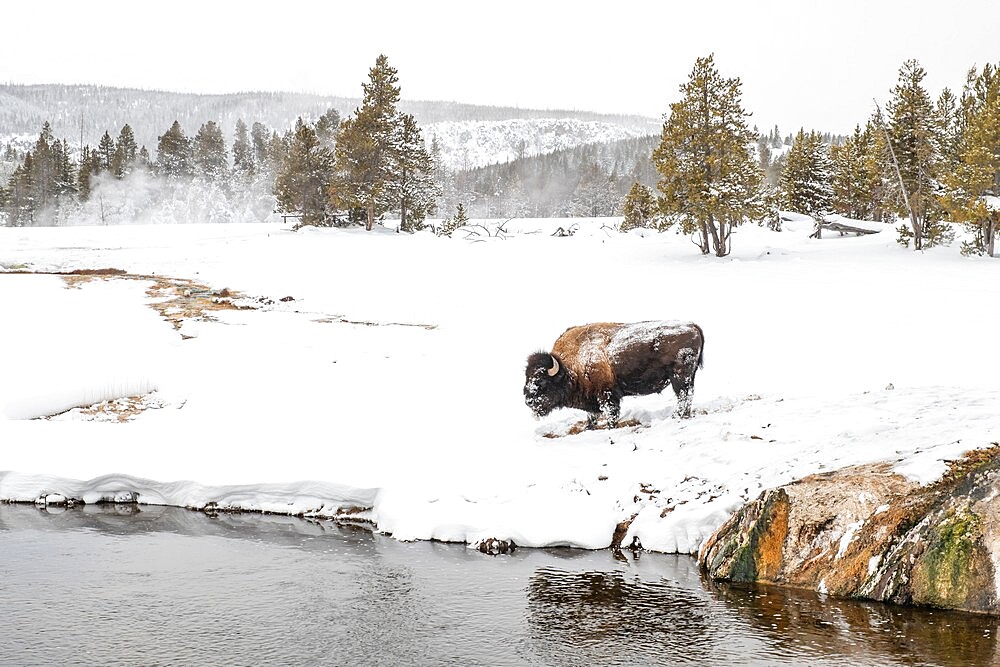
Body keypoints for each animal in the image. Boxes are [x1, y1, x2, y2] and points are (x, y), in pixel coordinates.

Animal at [524, 322, 704, 428]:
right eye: (527, 378)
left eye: (541, 381)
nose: (528, 401)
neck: (569, 366)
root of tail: (691, 326)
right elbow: (591, 415)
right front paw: (589, 427)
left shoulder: (606, 394)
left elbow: (610, 413)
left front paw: (610, 427)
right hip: (688, 377)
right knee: (687, 395)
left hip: (679, 377)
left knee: (683, 395)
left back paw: (677, 416)